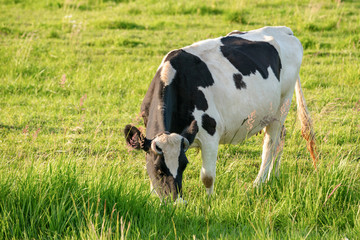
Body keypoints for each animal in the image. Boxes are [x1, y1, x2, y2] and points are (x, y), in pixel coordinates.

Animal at [125, 26, 316, 202]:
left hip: (283, 103)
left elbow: (207, 176)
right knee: (281, 138)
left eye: (184, 165)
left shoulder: (210, 133)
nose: (178, 203)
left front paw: (209, 203)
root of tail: (282, 29)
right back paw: (273, 177)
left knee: (270, 144)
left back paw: (258, 183)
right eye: (159, 168)